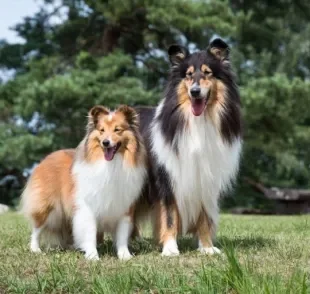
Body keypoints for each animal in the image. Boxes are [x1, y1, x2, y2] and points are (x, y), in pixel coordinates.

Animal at [21, 105, 147, 260]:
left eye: (117, 129)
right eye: (101, 130)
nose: (105, 143)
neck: (111, 165)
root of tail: (47, 158)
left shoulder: (124, 208)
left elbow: (122, 235)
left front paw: (125, 256)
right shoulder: (88, 207)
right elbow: (90, 232)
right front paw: (93, 256)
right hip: (45, 207)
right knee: (36, 229)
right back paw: (35, 249)